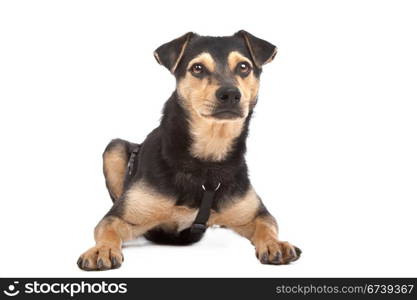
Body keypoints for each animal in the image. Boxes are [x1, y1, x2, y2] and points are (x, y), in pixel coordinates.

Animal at [77, 30, 300, 272]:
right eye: (197, 68)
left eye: (244, 67)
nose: (230, 94)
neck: (207, 161)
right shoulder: (121, 216)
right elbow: (106, 228)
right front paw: (102, 249)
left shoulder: (255, 214)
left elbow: (268, 225)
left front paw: (275, 244)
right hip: (114, 149)